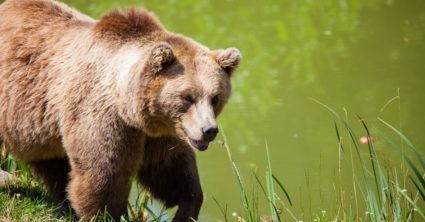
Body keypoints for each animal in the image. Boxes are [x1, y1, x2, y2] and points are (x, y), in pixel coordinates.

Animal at [0, 0, 240, 221]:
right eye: (187, 97)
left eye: (215, 97)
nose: (209, 130)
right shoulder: (103, 117)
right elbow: (104, 174)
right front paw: (108, 213)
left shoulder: (161, 132)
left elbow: (170, 170)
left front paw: (186, 209)